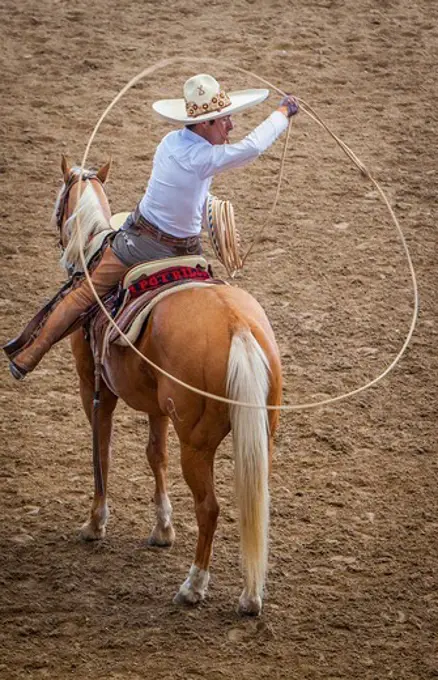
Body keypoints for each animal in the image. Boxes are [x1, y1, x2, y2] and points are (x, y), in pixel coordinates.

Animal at [56, 159, 282, 616]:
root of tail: (237, 327)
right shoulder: (157, 407)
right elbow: (154, 455)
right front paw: (162, 528)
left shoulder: (95, 388)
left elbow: (101, 453)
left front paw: (95, 523)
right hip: (260, 435)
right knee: (256, 504)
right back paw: (251, 595)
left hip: (195, 445)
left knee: (209, 508)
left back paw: (193, 586)